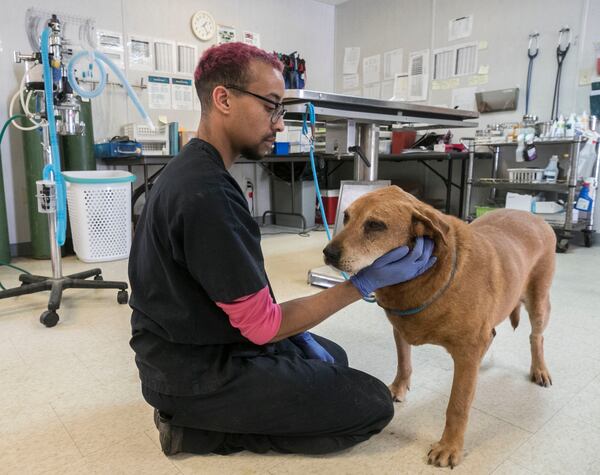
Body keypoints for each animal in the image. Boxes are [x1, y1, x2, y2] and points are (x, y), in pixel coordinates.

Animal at [322, 186, 556, 468]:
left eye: (375, 225)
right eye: (346, 217)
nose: (328, 253)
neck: (427, 274)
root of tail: (533, 216)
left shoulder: (466, 354)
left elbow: (458, 405)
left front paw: (450, 446)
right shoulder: (400, 329)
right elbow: (404, 363)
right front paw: (399, 388)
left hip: (539, 304)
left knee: (536, 337)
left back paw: (539, 369)